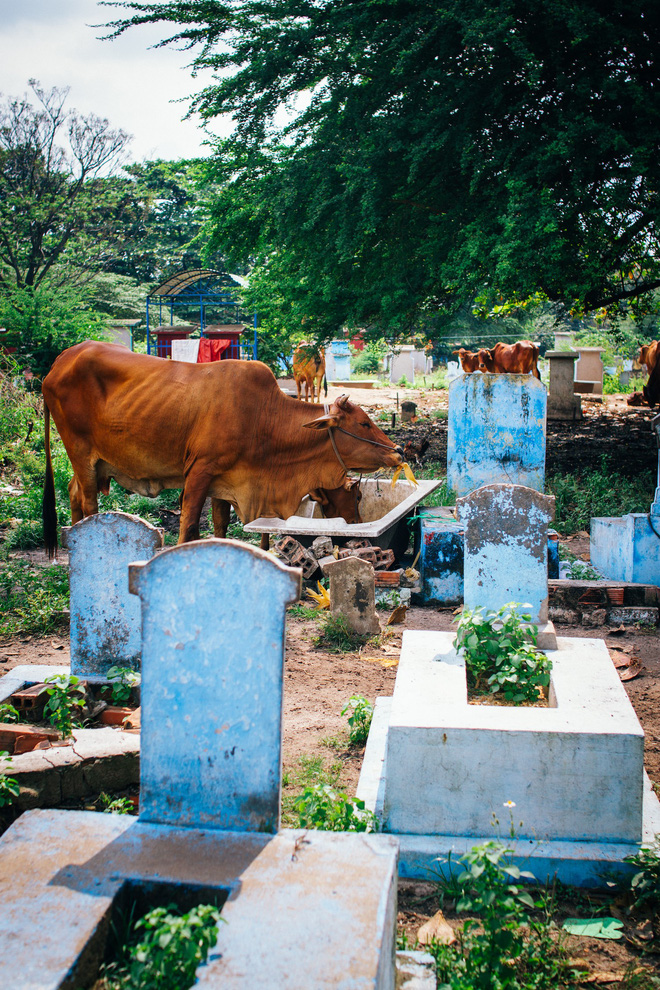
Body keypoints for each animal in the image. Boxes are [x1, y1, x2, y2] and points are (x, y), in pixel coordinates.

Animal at [43, 342, 402, 560]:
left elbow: (219, 524)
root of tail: (62, 358)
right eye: (364, 423)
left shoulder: (225, 480)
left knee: (74, 493)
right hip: (80, 452)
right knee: (89, 502)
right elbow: (189, 524)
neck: (263, 417)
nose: (398, 451)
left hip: (91, 462)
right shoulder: (199, 471)